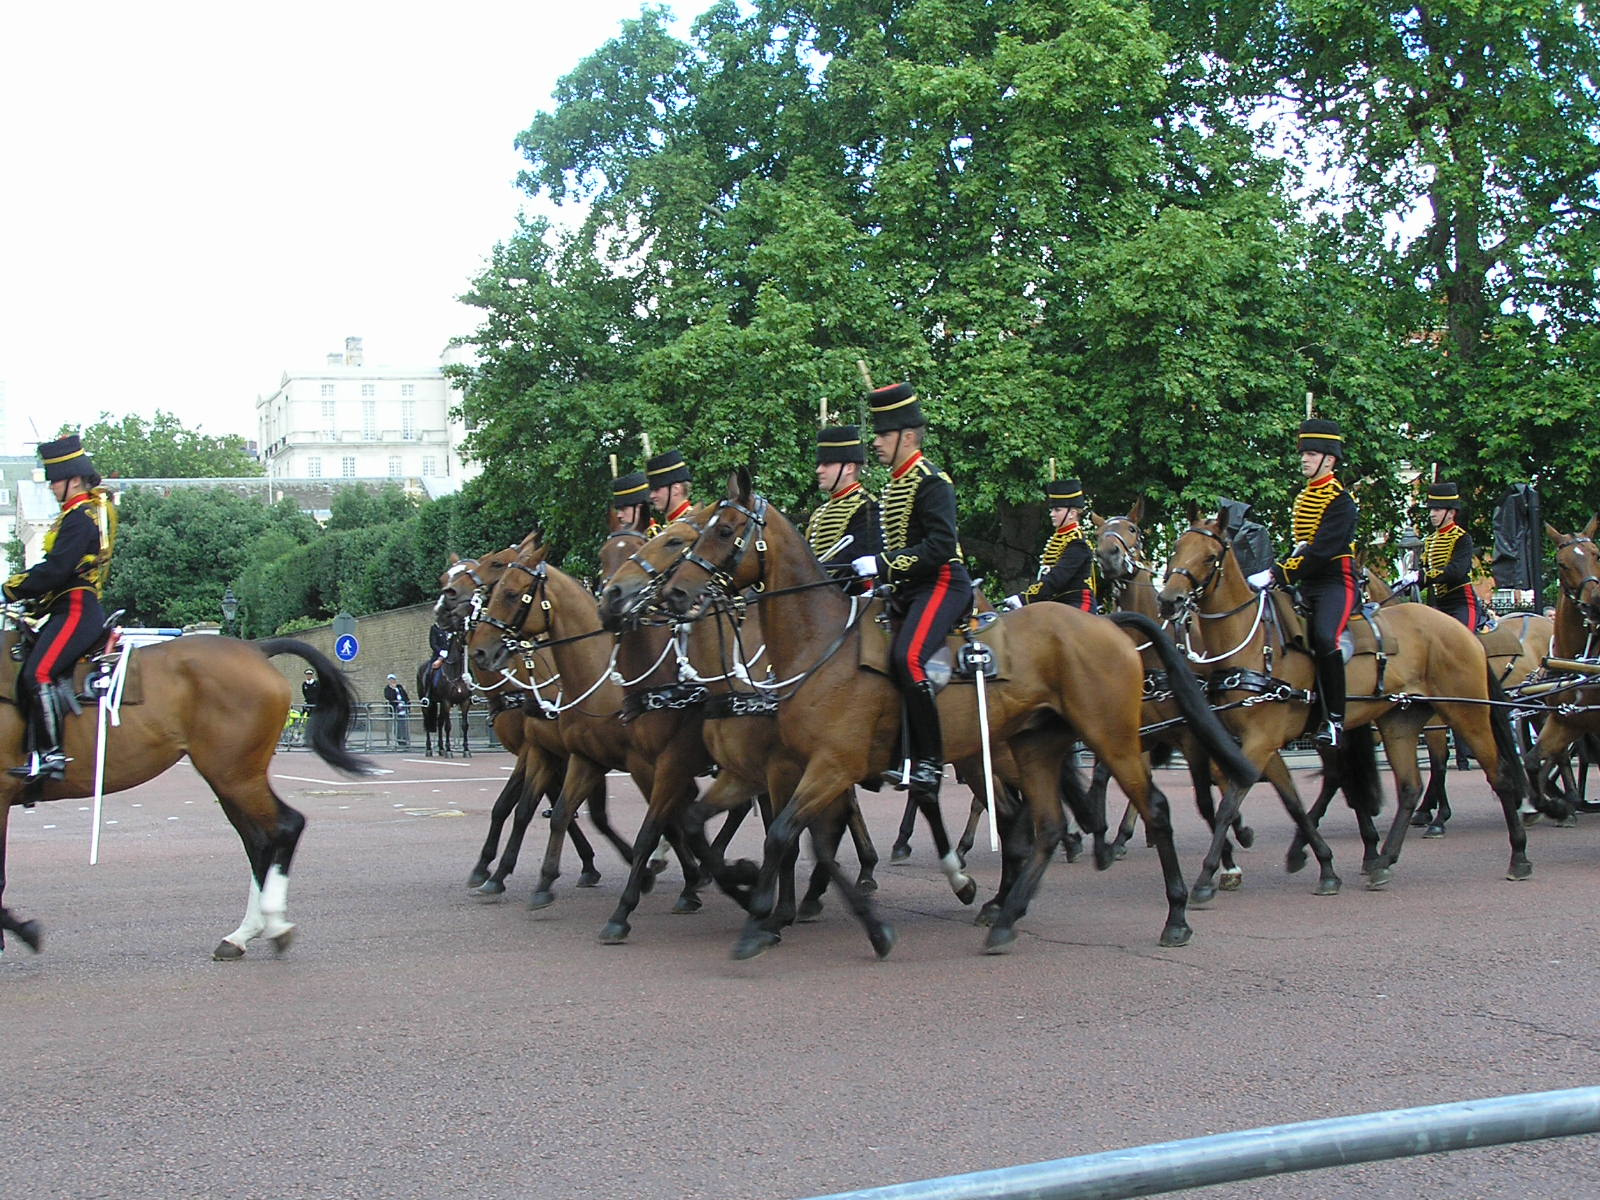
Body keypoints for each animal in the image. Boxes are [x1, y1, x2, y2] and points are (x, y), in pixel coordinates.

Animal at [0, 633, 371, 966]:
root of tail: (254, 649)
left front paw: (23, 933)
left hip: (236, 777)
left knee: (284, 827)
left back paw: (274, 924)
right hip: (231, 779)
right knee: (260, 841)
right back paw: (243, 934)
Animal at [601, 473, 1260, 966]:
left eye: (721, 530)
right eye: (681, 535)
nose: (658, 595)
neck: (813, 647)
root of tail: (1109, 627)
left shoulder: (826, 768)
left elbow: (789, 836)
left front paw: (770, 911)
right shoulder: (775, 770)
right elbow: (723, 826)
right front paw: (752, 891)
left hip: (1109, 739)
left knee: (1153, 809)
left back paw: (1175, 911)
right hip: (1031, 745)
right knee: (1041, 824)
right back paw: (1005, 915)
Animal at [1164, 512, 1536, 896]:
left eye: (1210, 556)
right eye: (1177, 546)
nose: (1169, 600)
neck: (1251, 644)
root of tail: (1461, 631)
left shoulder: (1262, 739)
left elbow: (1231, 802)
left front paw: (1206, 877)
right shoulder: (1261, 742)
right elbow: (1293, 801)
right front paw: (1321, 862)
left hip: (1466, 712)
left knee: (1497, 774)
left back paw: (1517, 855)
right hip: (1400, 721)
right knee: (1409, 786)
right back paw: (1385, 861)